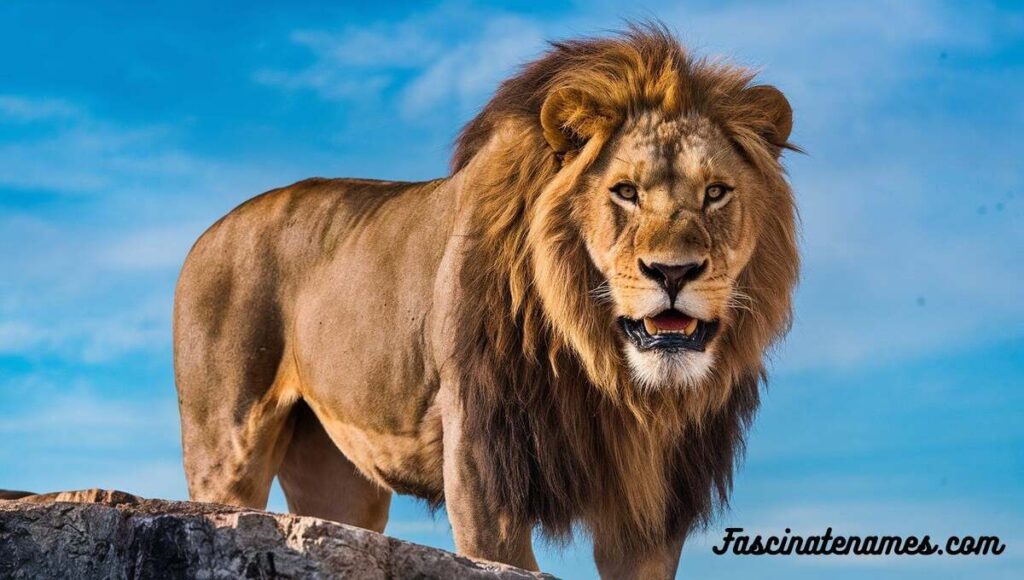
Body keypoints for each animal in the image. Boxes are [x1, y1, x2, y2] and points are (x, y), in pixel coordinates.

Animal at [174, 24, 798, 577]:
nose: (673, 271)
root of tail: (209, 233)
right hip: (227, 444)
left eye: (716, 192)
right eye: (625, 191)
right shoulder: (481, 461)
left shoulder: (655, 498)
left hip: (339, 475)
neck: (611, 378)